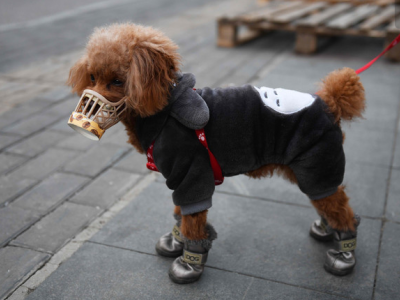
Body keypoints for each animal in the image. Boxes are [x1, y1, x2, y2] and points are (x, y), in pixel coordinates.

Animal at [68, 22, 366, 282]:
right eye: (92, 77)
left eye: (118, 81)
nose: (86, 109)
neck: (163, 109)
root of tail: (330, 104)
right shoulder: (181, 178)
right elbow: (182, 213)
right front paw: (176, 240)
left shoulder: (192, 174)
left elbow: (193, 219)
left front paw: (190, 263)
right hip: (310, 169)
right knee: (331, 202)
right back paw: (327, 229)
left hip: (317, 164)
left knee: (340, 209)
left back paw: (344, 253)